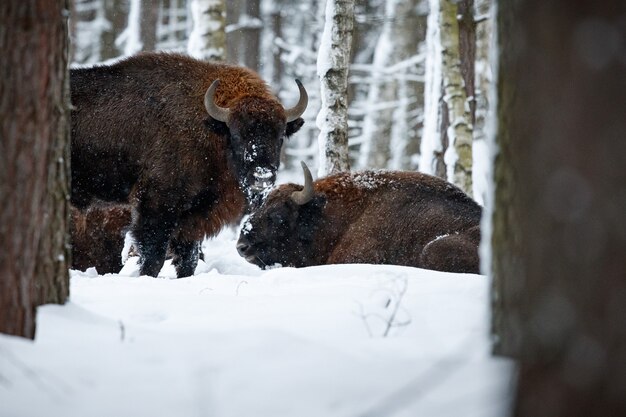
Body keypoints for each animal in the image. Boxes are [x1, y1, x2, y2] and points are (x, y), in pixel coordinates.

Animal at [71, 52, 308, 278]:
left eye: (280, 137)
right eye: (236, 135)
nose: (262, 176)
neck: (209, 127)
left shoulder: (194, 217)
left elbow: (188, 258)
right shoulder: (156, 205)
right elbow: (154, 256)